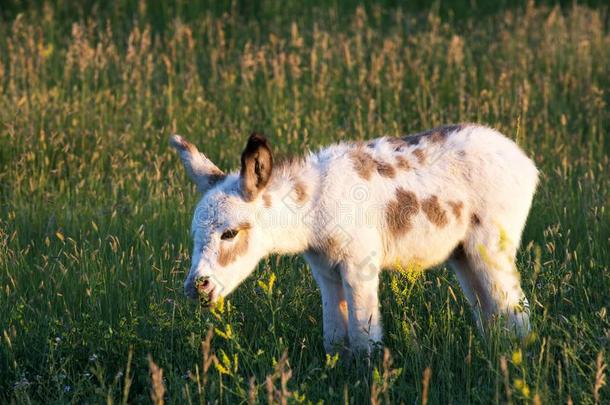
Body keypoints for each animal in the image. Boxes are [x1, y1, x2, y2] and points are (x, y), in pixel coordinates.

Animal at [170, 124, 536, 354]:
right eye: (194, 235)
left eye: (230, 233)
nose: (195, 289)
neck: (313, 209)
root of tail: (523, 159)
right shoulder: (326, 271)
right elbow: (335, 337)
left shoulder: (359, 266)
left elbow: (363, 337)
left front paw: (370, 382)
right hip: (463, 255)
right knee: (490, 313)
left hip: (491, 247)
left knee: (516, 311)